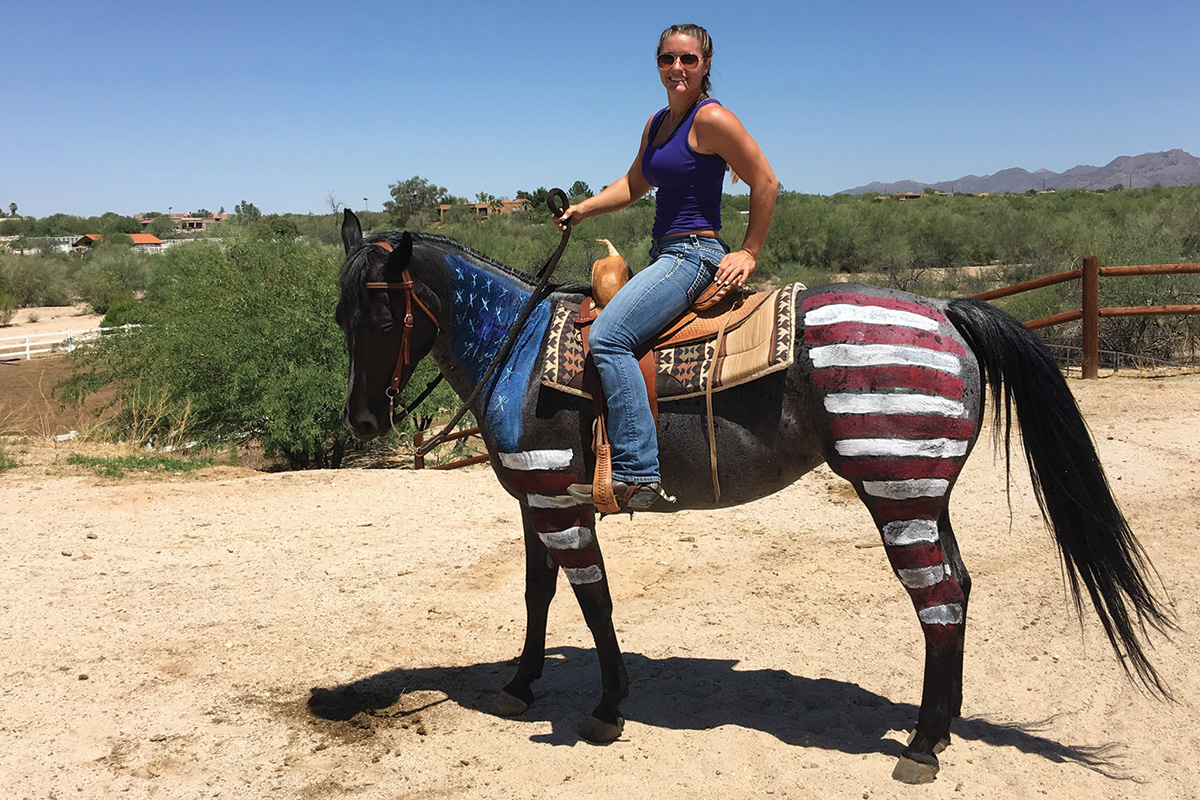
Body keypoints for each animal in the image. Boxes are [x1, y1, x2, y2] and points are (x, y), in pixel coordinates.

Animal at [336, 209, 1171, 786]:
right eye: (342, 318)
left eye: (381, 314)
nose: (364, 421)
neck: (517, 350)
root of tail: (947, 312)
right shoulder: (537, 498)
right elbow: (539, 594)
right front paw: (518, 685)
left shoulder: (557, 501)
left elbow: (594, 600)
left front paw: (607, 708)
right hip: (924, 494)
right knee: (959, 588)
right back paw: (942, 726)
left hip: (895, 490)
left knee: (938, 600)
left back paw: (921, 749)